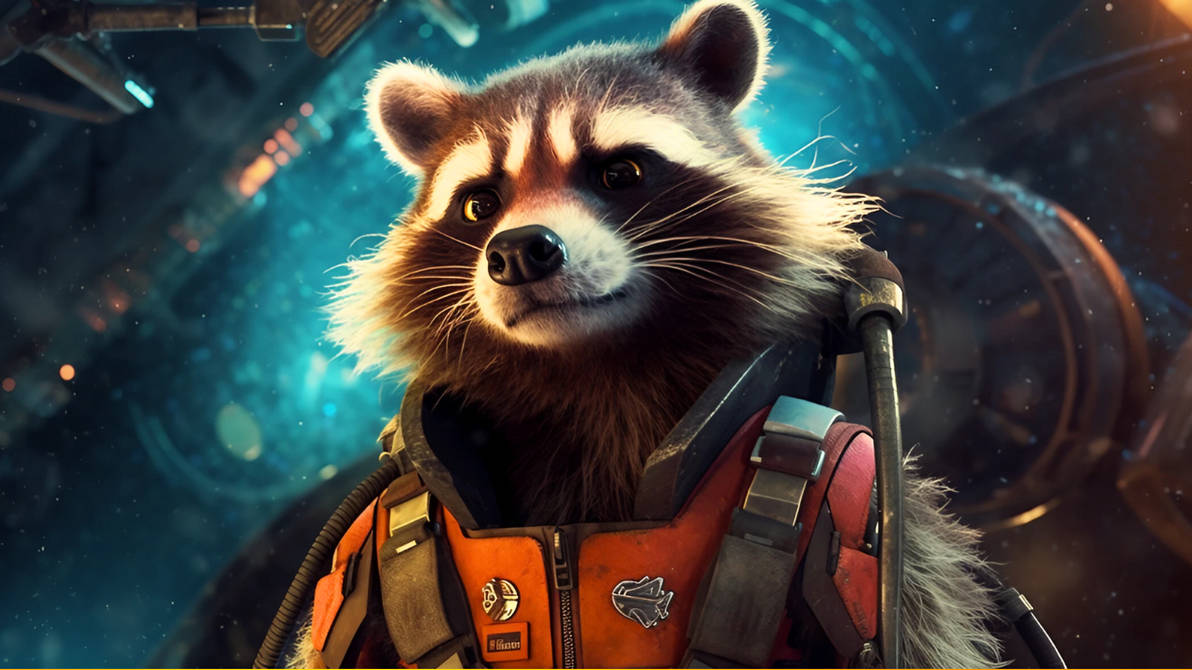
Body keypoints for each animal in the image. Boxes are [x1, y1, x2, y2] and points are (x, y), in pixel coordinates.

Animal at [316, 0, 1005, 666]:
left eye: (619, 173)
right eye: (480, 204)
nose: (517, 252)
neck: (592, 365)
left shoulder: (869, 502)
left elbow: (921, 631)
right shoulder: (360, 548)